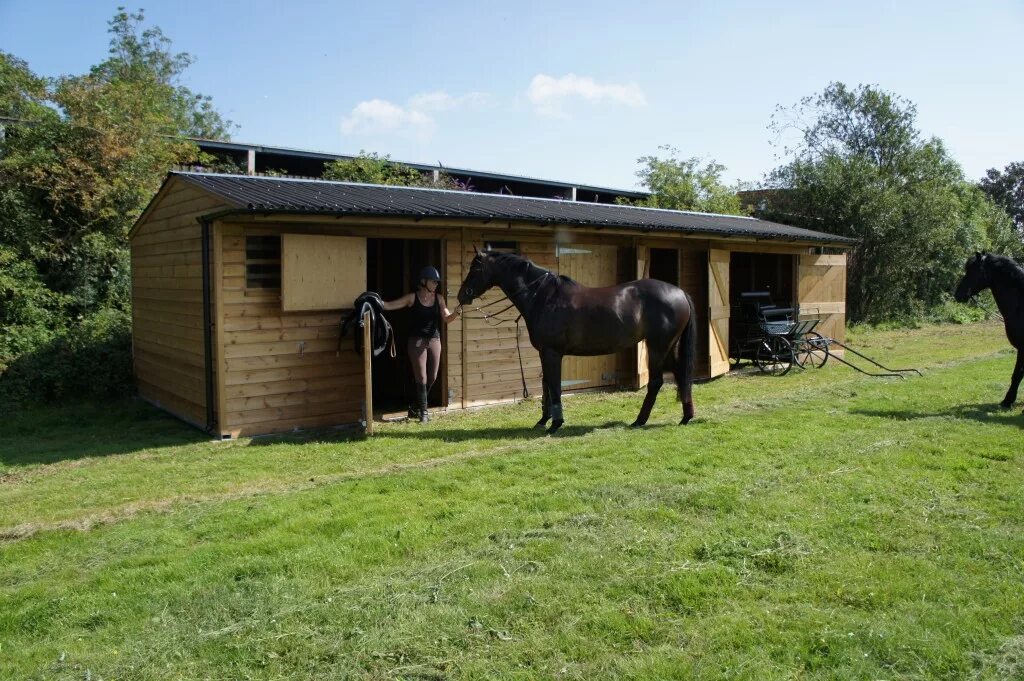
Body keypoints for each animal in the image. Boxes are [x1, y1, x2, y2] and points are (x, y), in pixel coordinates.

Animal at [456, 246, 696, 432]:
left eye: (475, 268)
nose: (462, 295)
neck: (544, 297)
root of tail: (680, 293)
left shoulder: (552, 353)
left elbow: (554, 386)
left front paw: (555, 424)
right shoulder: (544, 353)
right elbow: (546, 385)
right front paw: (543, 420)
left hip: (657, 347)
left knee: (656, 382)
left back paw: (639, 421)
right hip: (668, 347)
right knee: (681, 375)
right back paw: (685, 417)